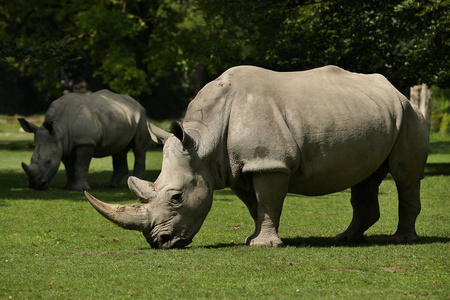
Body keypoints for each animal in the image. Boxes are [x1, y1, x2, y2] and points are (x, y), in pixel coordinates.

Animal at [19, 89, 151, 190]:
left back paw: (137, 184)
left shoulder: (85, 142)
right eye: (31, 159)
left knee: (139, 147)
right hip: (121, 116)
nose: (35, 185)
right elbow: (69, 167)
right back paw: (111, 186)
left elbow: (81, 165)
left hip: (142, 117)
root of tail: (136, 103)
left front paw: (80, 189)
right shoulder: (63, 145)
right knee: (119, 150)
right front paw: (68, 187)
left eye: (48, 161)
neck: (59, 129)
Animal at [85, 67, 428, 250]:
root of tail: (395, 89)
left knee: (405, 175)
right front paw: (253, 239)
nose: (160, 242)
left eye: (177, 197)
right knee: (365, 177)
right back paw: (345, 238)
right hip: (375, 114)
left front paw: (264, 245)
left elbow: (269, 202)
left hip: (409, 113)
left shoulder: (269, 163)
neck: (203, 141)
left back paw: (402, 240)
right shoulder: (236, 167)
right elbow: (256, 206)